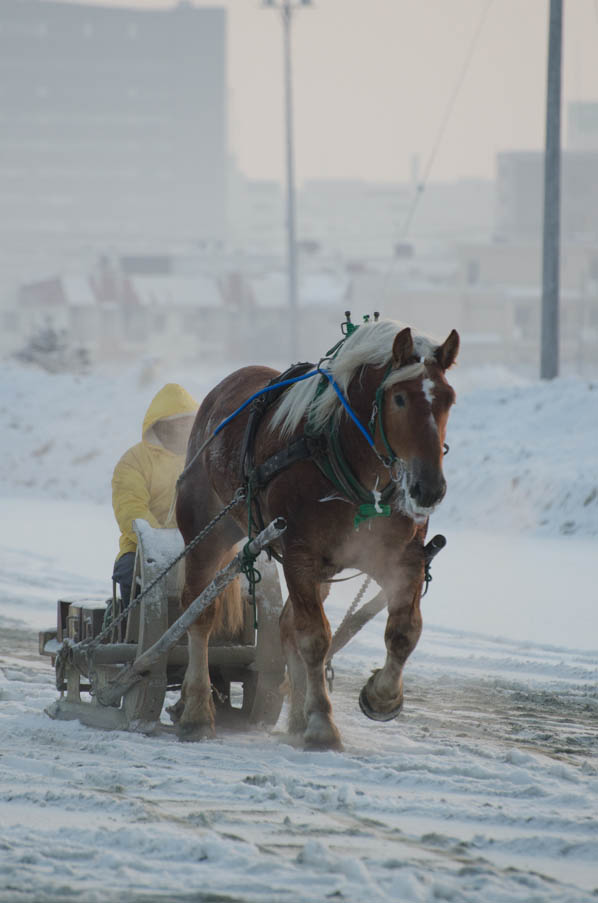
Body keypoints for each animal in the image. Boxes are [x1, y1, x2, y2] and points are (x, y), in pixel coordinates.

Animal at [176, 318, 462, 748]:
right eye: (399, 398)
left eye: (448, 399)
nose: (429, 489)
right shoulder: (299, 555)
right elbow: (314, 637)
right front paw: (322, 724)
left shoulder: (401, 558)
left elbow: (404, 632)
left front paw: (381, 696)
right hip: (207, 531)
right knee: (199, 614)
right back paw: (196, 711)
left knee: (284, 627)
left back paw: (294, 717)